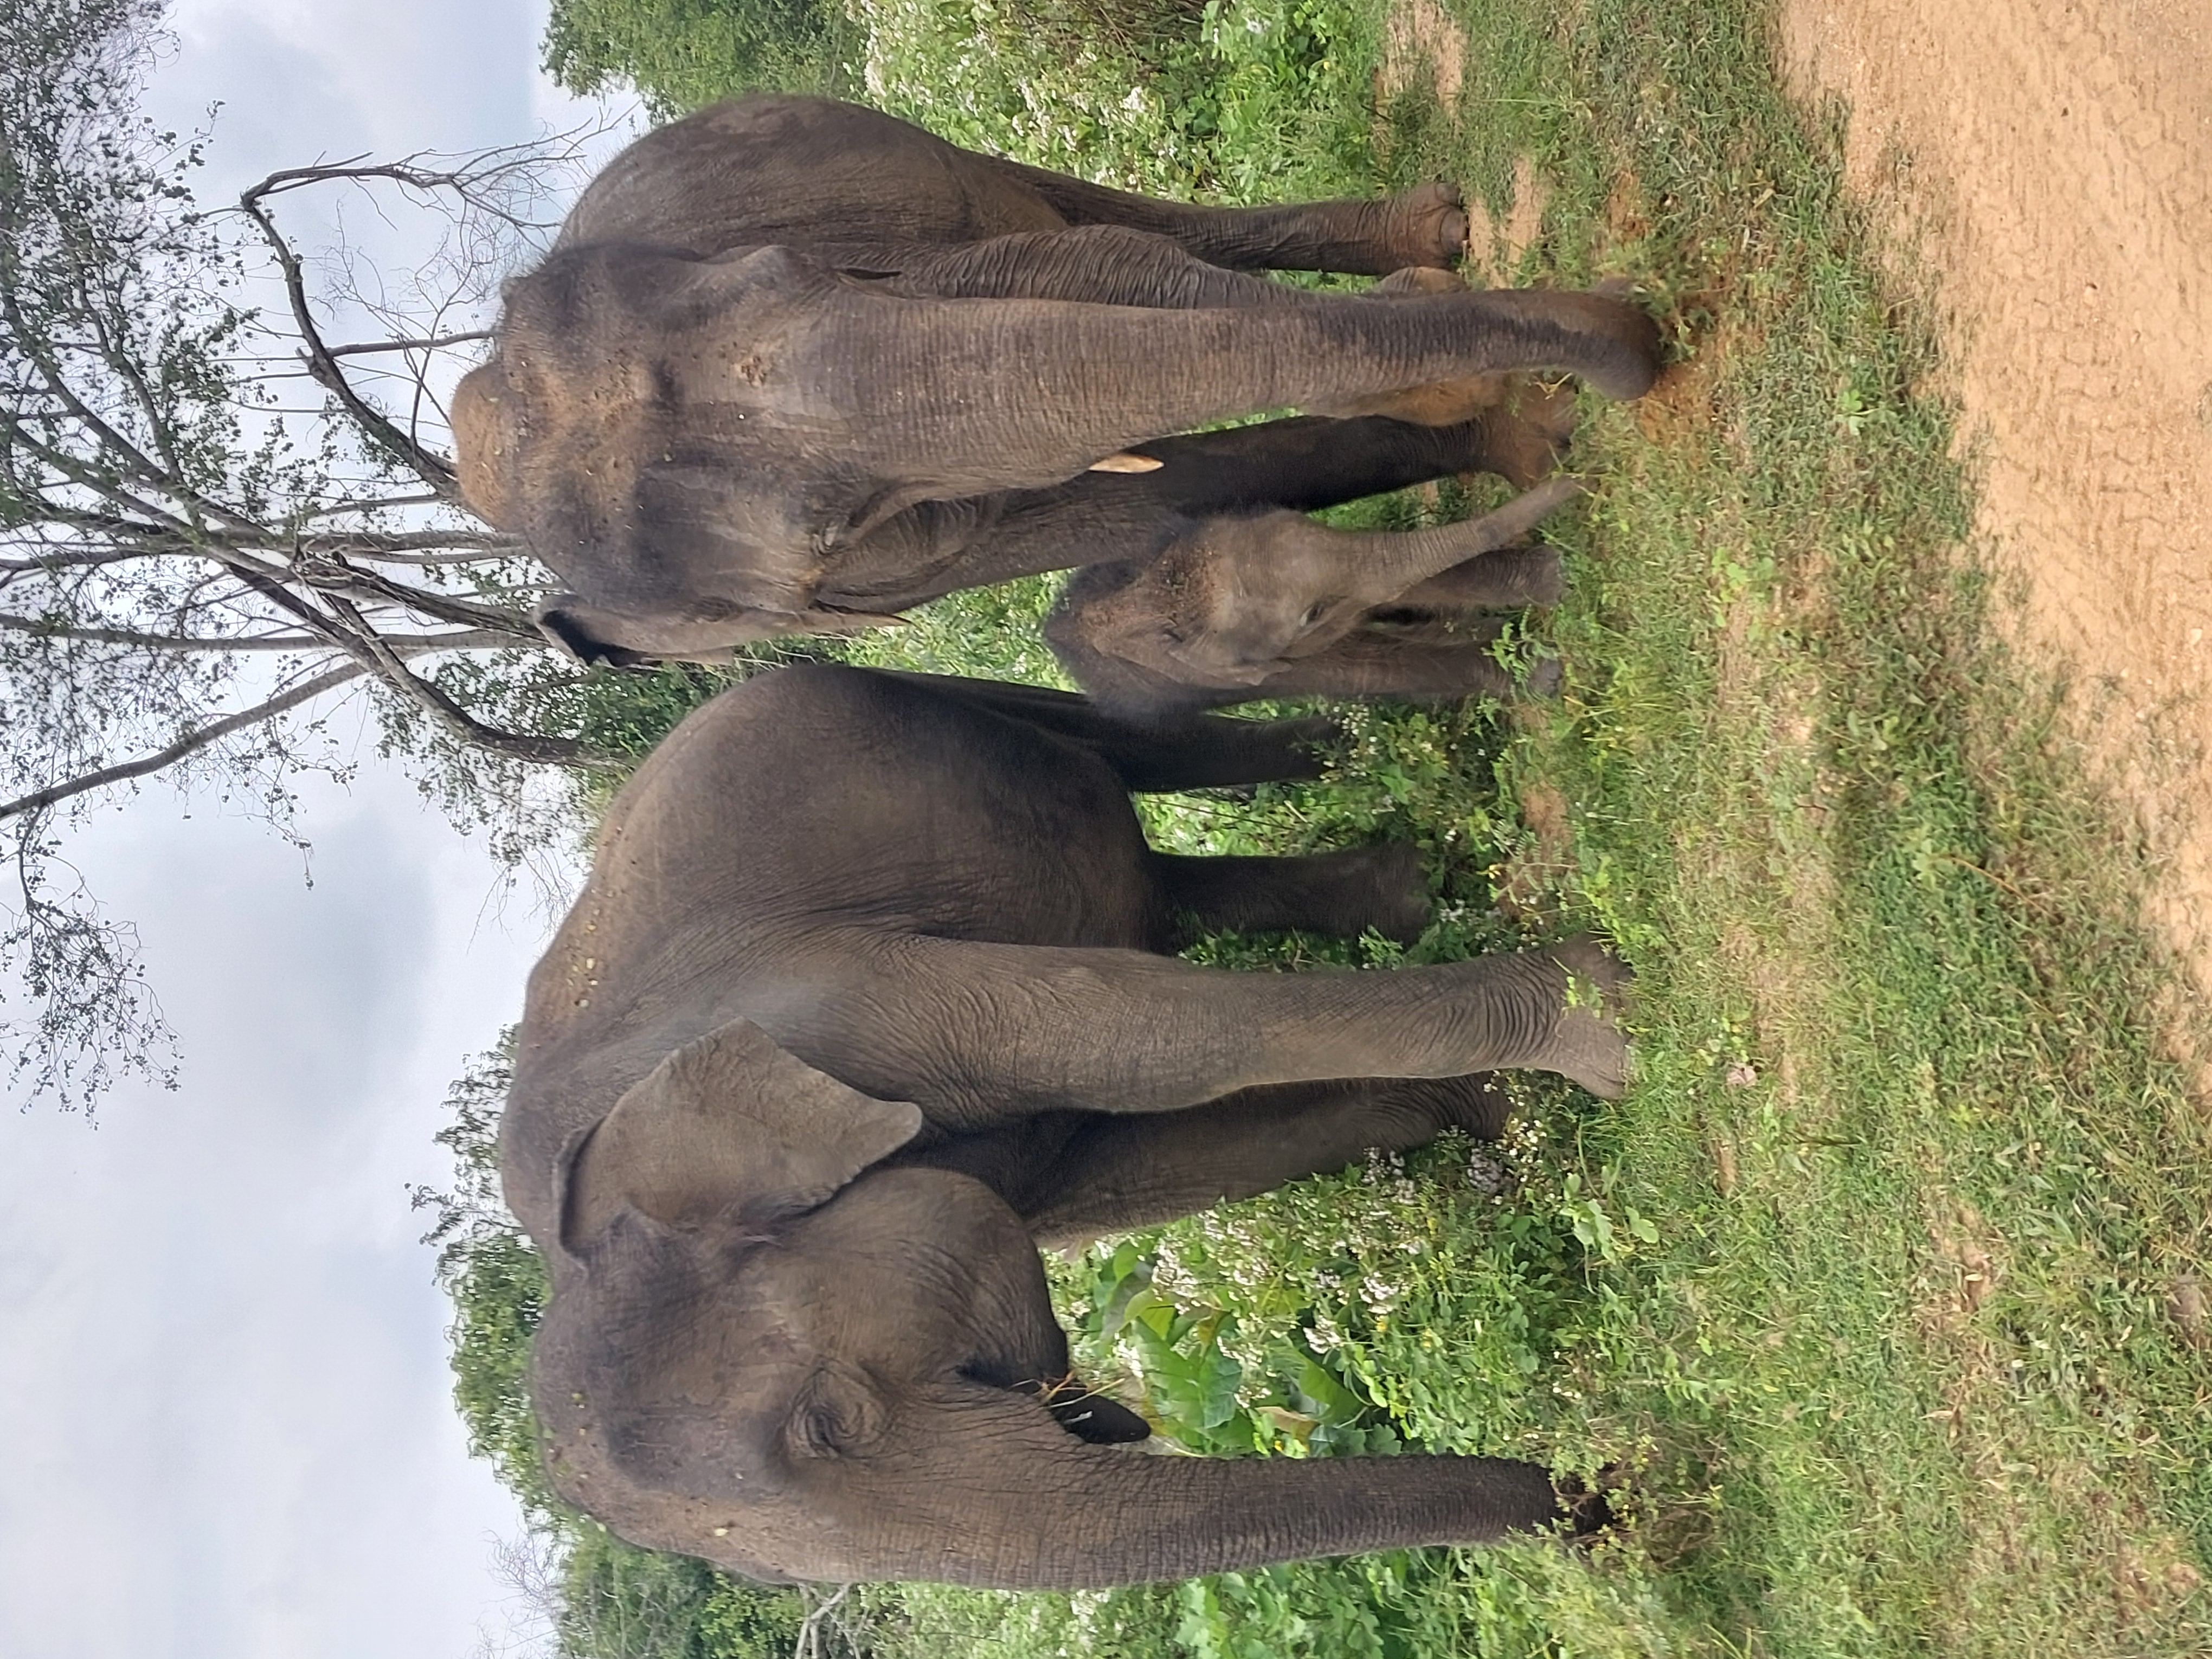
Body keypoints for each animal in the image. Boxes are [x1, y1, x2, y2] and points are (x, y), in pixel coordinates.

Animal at [451, 95, 1663, 668]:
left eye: (788, 264)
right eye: (830, 544)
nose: (1634, 343)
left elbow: (1102, 268)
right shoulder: (917, 568)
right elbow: (1141, 495)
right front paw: (1525, 427)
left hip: (927, 162)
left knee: (1099, 215)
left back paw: (1438, 239)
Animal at [504, 662, 1633, 1590]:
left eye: (831, 1420)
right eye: (781, 1580)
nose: (1595, 1511)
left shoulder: (827, 994)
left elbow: (1135, 1030)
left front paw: (1602, 1028)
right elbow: (1168, 1158)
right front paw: (1500, 1111)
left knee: (1127, 743)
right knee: (1159, 882)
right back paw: (1406, 874)